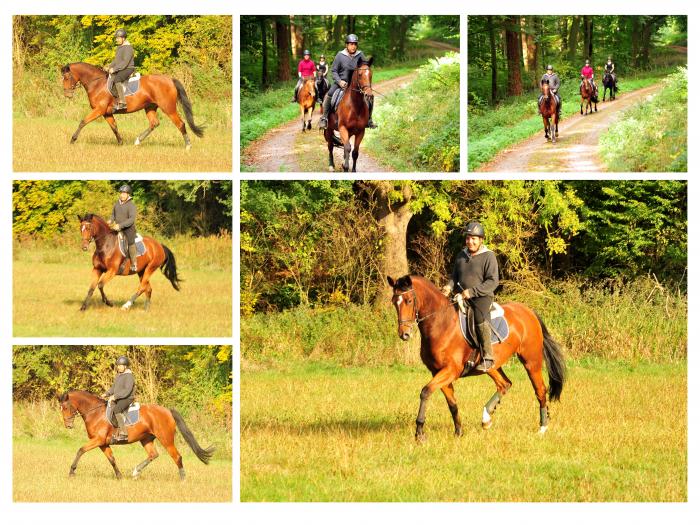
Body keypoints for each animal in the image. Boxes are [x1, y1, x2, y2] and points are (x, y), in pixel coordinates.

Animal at [58, 388, 213, 478]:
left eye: (65, 407)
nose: (68, 425)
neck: (95, 413)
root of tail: (167, 411)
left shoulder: (98, 440)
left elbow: (80, 450)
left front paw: (71, 471)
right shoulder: (103, 443)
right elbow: (112, 459)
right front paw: (119, 476)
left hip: (166, 439)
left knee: (177, 457)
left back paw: (182, 478)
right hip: (146, 439)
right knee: (153, 454)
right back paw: (136, 472)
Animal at [61, 63, 204, 151]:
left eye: (67, 77)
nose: (67, 94)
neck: (96, 83)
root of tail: (170, 80)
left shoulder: (99, 110)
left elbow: (83, 122)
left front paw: (72, 140)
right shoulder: (107, 113)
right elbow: (114, 127)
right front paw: (120, 143)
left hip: (168, 108)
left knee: (180, 124)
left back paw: (188, 146)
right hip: (150, 107)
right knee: (154, 123)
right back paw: (137, 141)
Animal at [386, 276, 568, 440]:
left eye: (409, 301)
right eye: (395, 302)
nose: (404, 334)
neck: (441, 324)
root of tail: (528, 312)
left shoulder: (450, 370)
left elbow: (425, 392)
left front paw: (420, 433)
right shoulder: (437, 372)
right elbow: (452, 403)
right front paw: (458, 432)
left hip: (531, 361)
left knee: (540, 390)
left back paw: (542, 428)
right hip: (492, 365)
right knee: (504, 384)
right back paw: (486, 418)